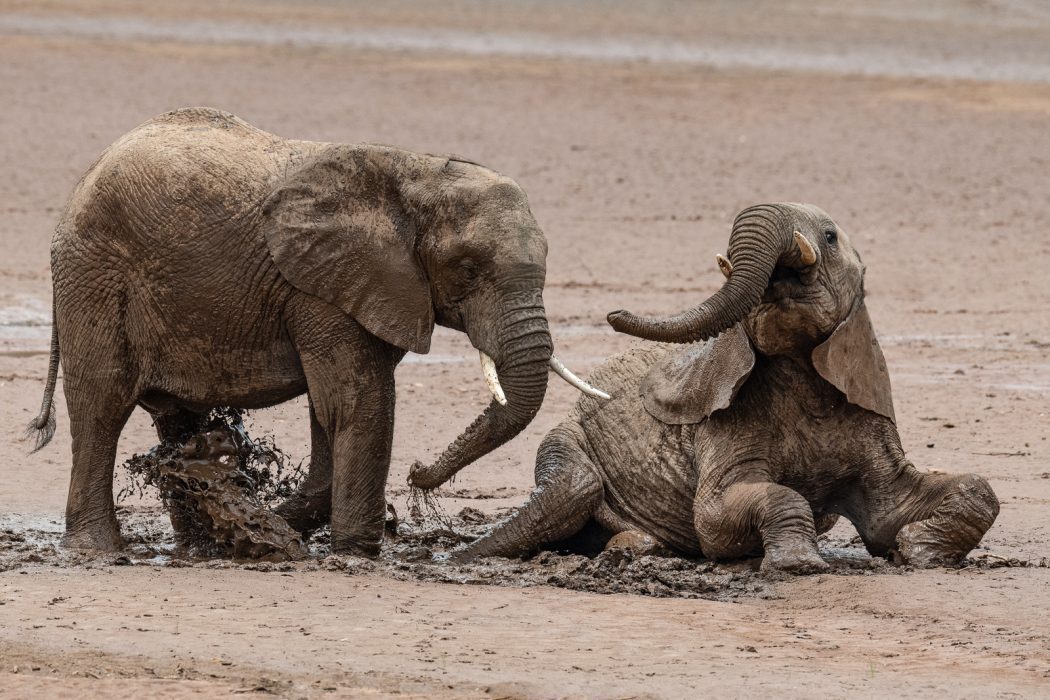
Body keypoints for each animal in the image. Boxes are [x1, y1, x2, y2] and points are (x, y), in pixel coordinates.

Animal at [26, 107, 606, 556]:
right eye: (466, 269)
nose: (418, 471)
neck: (416, 173)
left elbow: (330, 410)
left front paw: (279, 526)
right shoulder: (324, 287)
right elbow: (356, 403)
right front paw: (352, 553)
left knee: (175, 417)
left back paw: (197, 541)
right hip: (95, 275)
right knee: (101, 405)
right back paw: (100, 549)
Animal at [453, 203, 1000, 572]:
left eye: (828, 236)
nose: (612, 313)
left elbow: (949, 496)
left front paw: (916, 551)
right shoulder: (724, 425)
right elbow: (721, 517)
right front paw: (799, 566)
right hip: (568, 442)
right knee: (570, 490)